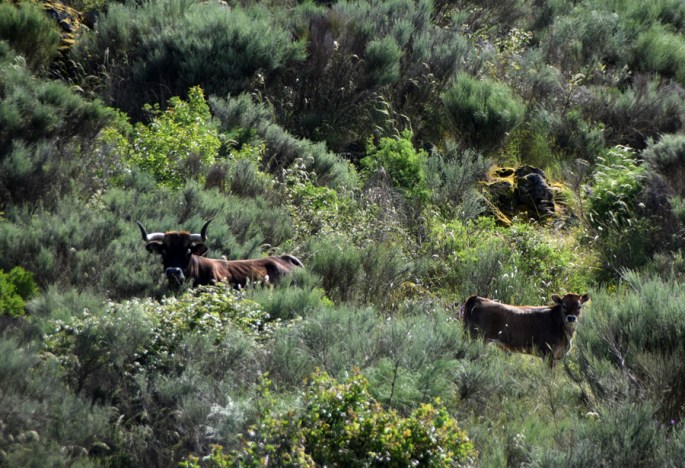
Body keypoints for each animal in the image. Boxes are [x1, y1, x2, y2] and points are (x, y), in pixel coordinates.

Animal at [462, 293, 590, 366]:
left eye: (579, 306)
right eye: (564, 305)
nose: (571, 318)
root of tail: (478, 298)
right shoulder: (548, 354)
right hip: (478, 339)